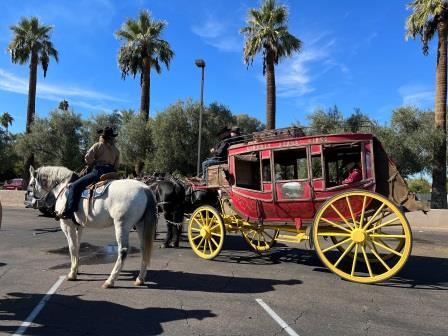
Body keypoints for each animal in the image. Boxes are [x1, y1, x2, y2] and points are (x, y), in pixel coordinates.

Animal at [28, 166, 158, 288]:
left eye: (31, 184)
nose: (33, 203)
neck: (63, 188)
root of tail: (145, 188)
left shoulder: (67, 225)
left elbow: (72, 247)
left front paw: (72, 274)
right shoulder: (79, 226)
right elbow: (77, 246)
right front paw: (76, 269)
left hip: (122, 225)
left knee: (123, 250)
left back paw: (110, 281)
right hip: (140, 224)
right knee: (144, 248)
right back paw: (140, 279)